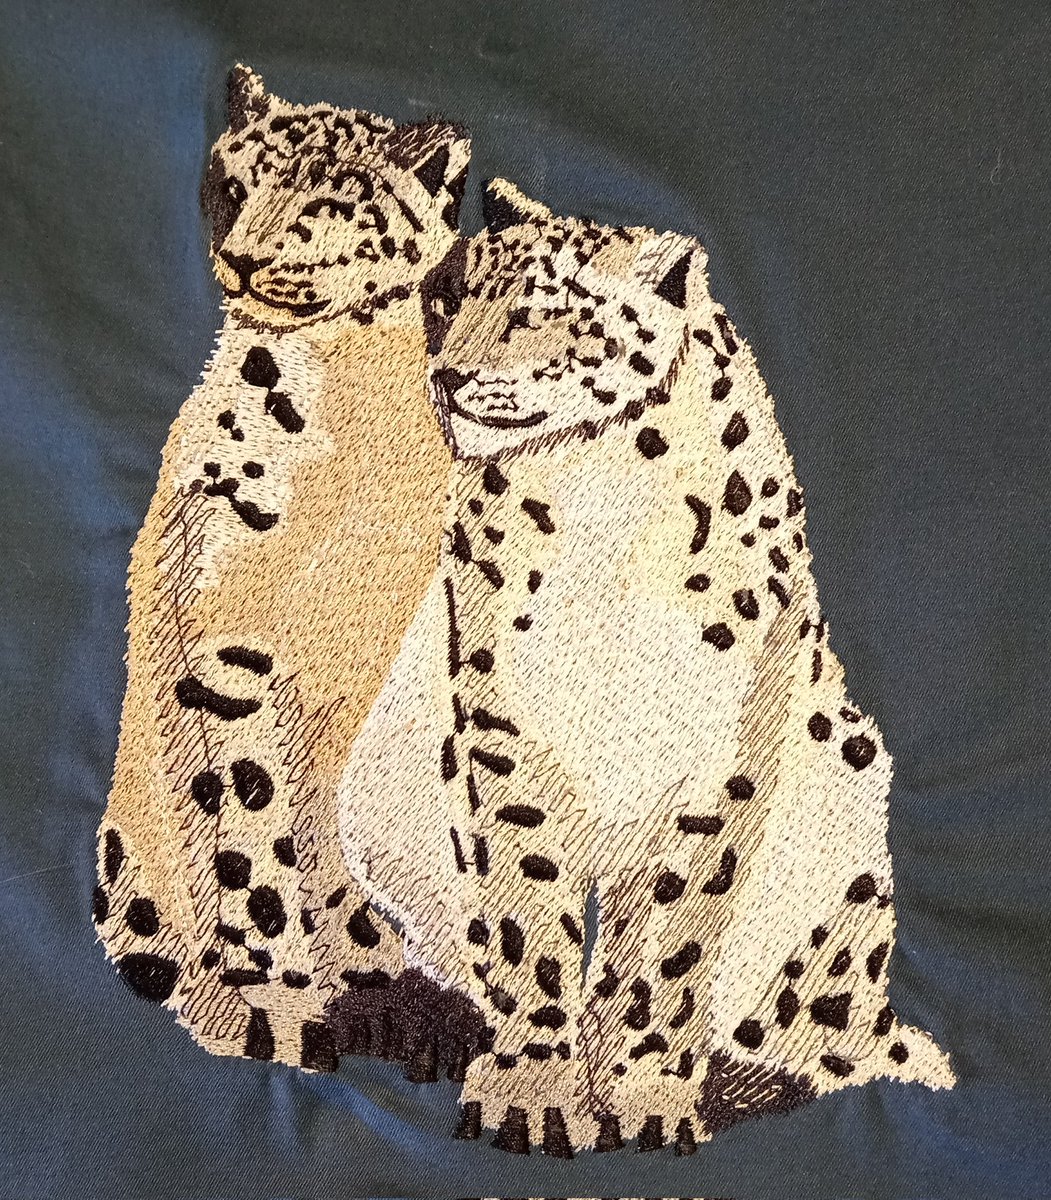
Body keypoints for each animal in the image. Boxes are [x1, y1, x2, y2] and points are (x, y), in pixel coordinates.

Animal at [93, 65, 470, 1072]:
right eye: (232, 184)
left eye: (322, 205)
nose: (241, 259)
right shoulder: (230, 653)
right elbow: (259, 844)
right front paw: (292, 1000)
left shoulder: (372, 663)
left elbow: (327, 835)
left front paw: (380, 987)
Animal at [337, 178, 954, 1155]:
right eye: (449, 297)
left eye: (543, 310)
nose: (447, 377)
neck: (597, 489)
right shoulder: (504, 730)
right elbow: (524, 918)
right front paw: (531, 1086)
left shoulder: (724, 755)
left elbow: (672, 938)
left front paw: (645, 1090)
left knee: (818, 1026)